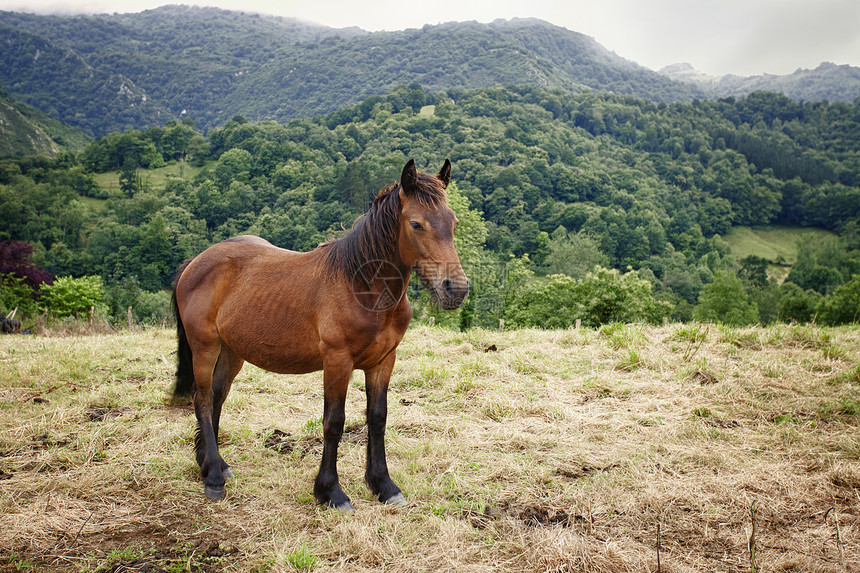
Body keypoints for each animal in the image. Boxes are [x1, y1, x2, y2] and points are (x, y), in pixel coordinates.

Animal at [170, 159, 466, 508]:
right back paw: (214, 478)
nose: (456, 289)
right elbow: (334, 422)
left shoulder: (383, 361)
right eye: (417, 224)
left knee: (217, 396)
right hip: (205, 347)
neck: (362, 286)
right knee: (202, 399)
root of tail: (195, 262)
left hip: (231, 352)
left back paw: (212, 464)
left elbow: (378, 418)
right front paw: (331, 492)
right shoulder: (337, 362)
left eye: (453, 222)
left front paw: (384, 485)